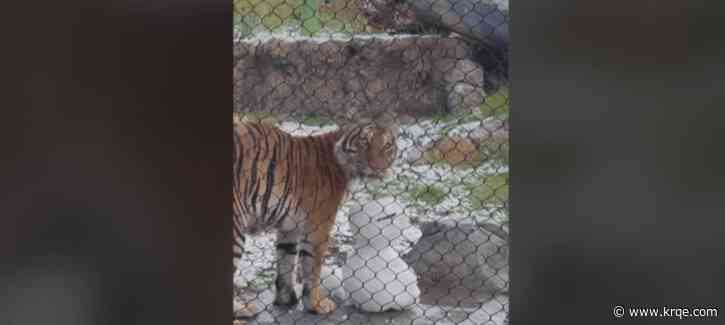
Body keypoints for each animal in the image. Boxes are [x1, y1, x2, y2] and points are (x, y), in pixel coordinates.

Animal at [232, 116, 398, 316]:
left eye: (387, 145)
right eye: (365, 141)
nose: (377, 167)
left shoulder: (290, 226)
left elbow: (286, 261)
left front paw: (286, 300)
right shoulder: (319, 225)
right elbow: (312, 268)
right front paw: (316, 305)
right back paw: (242, 310)